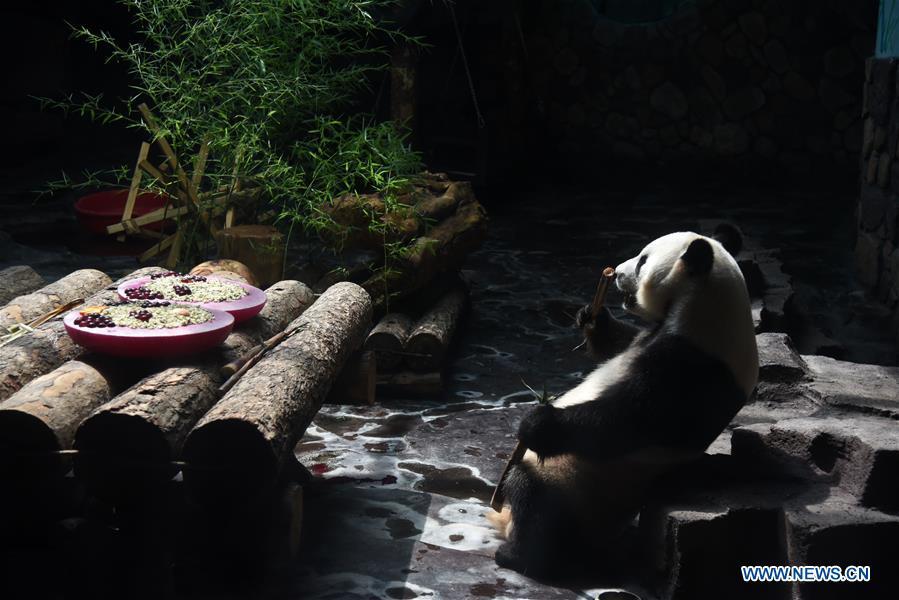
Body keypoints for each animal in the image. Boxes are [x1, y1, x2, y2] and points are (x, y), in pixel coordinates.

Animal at [492, 224, 760, 576]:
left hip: (573, 484)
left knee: (533, 497)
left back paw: (518, 555)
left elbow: (628, 420)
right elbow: (621, 344)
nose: (617, 272)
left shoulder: (694, 367)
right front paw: (593, 318)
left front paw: (539, 423)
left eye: (643, 260)